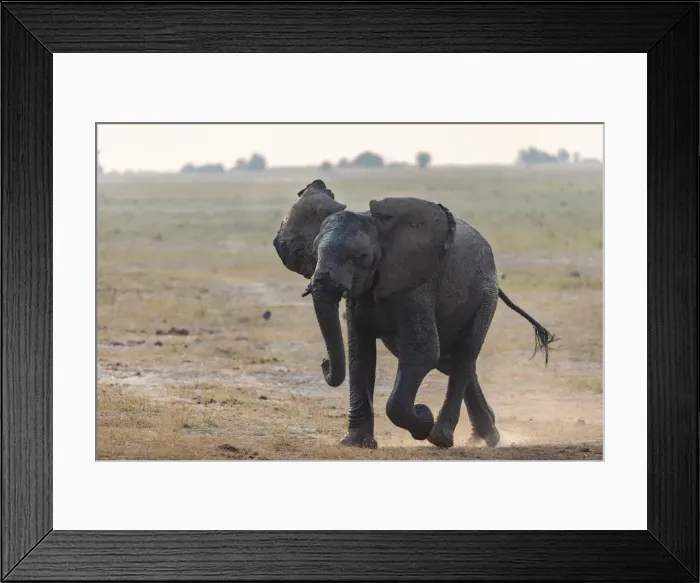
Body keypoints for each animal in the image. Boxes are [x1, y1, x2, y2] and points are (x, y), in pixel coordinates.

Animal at [272, 179, 557, 449]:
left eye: (363, 257)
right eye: (313, 251)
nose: (323, 363)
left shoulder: (415, 288)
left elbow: (423, 351)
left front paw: (423, 419)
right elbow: (360, 355)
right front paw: (356, 443)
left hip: (485, 295)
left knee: (463, 356)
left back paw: (442, 437)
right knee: (450, 361)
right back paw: (486, 438)